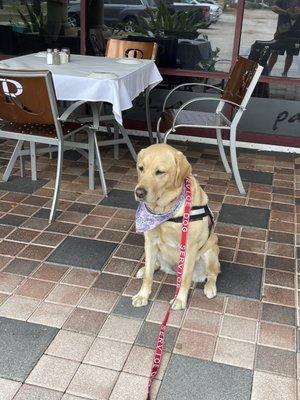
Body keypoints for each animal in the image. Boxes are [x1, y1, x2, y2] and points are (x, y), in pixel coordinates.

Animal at [132, 142, 219, 310]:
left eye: (160, 172)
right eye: (141, 168)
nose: (139, 193)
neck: (165, 210)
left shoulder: (189, 247)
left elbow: (184, 278)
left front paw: (180, 299)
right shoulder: (150, 241)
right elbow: (148, 276)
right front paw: (142, 295)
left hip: (211, 250)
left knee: (213, 274)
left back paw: (210, 287)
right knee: (154, 265)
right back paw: (144, 269)